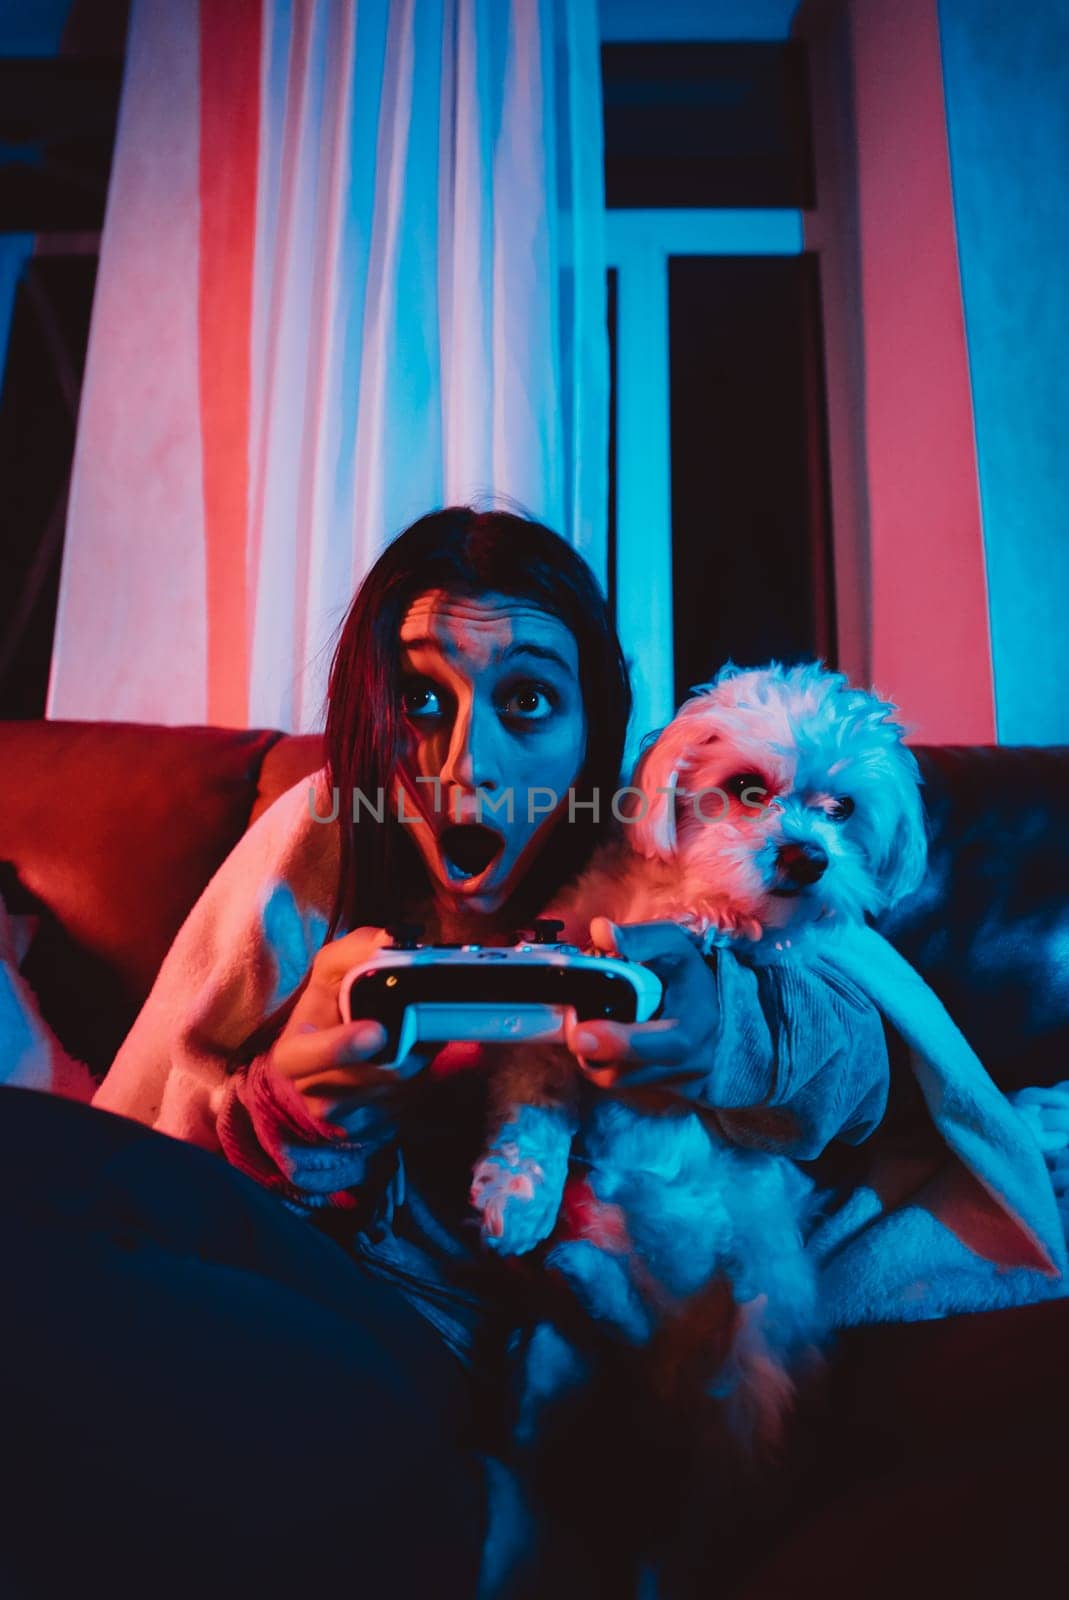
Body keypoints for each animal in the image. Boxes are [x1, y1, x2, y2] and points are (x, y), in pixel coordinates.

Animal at [470, 659, 928, 1440]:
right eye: (746, 788)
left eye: (841, 810)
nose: (807, 858)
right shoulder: (550, 1033)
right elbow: (533, 1113)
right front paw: (516, 1197)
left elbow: (752, 933)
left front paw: (714, 916)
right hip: (557, 1354)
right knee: (606, 1333)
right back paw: (582, 1279)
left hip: (760, 1330)